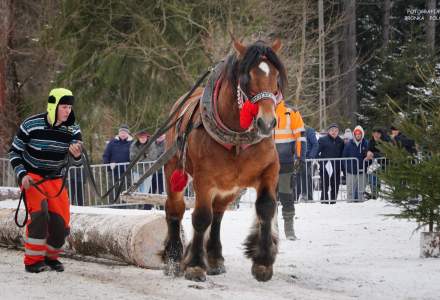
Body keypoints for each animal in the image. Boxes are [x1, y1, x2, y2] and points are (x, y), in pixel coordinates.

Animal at [162, 37, 286, 282]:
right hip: (174, 170)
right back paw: (174, 258)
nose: (267, 123)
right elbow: (201, 217)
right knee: (175, 209)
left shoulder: (269, 170)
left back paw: (215, 258)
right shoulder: (204, 179)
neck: (237, 140)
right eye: (247, 78)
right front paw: (194, 265)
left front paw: (263, 262)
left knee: (218, 213)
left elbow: (266, 208)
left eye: (276, 76)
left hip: (230, 186)